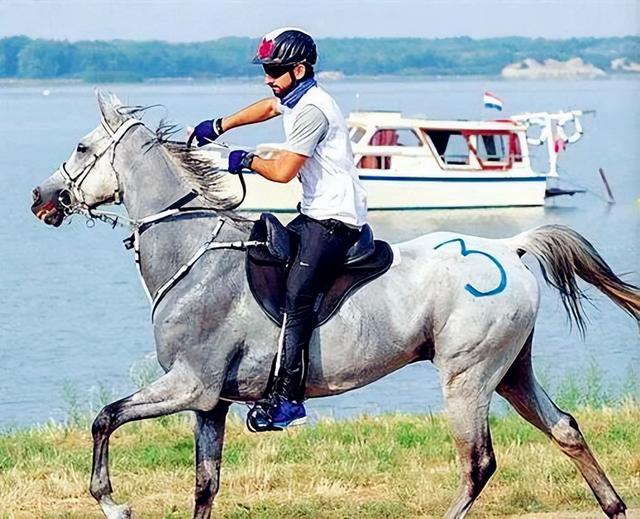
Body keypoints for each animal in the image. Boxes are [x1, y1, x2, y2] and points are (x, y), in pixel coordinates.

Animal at [31, 93, 640, 519]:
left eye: (82, 148)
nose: (41, 197)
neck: (194, 249)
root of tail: (510, 248)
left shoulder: (188, 385)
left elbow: (104, 418)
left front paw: (113, 501)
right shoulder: (209, 403)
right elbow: (205, 486)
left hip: (467, 378)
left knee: (478, 463)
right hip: (511, 370)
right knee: (565, 429)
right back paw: (613, 505)